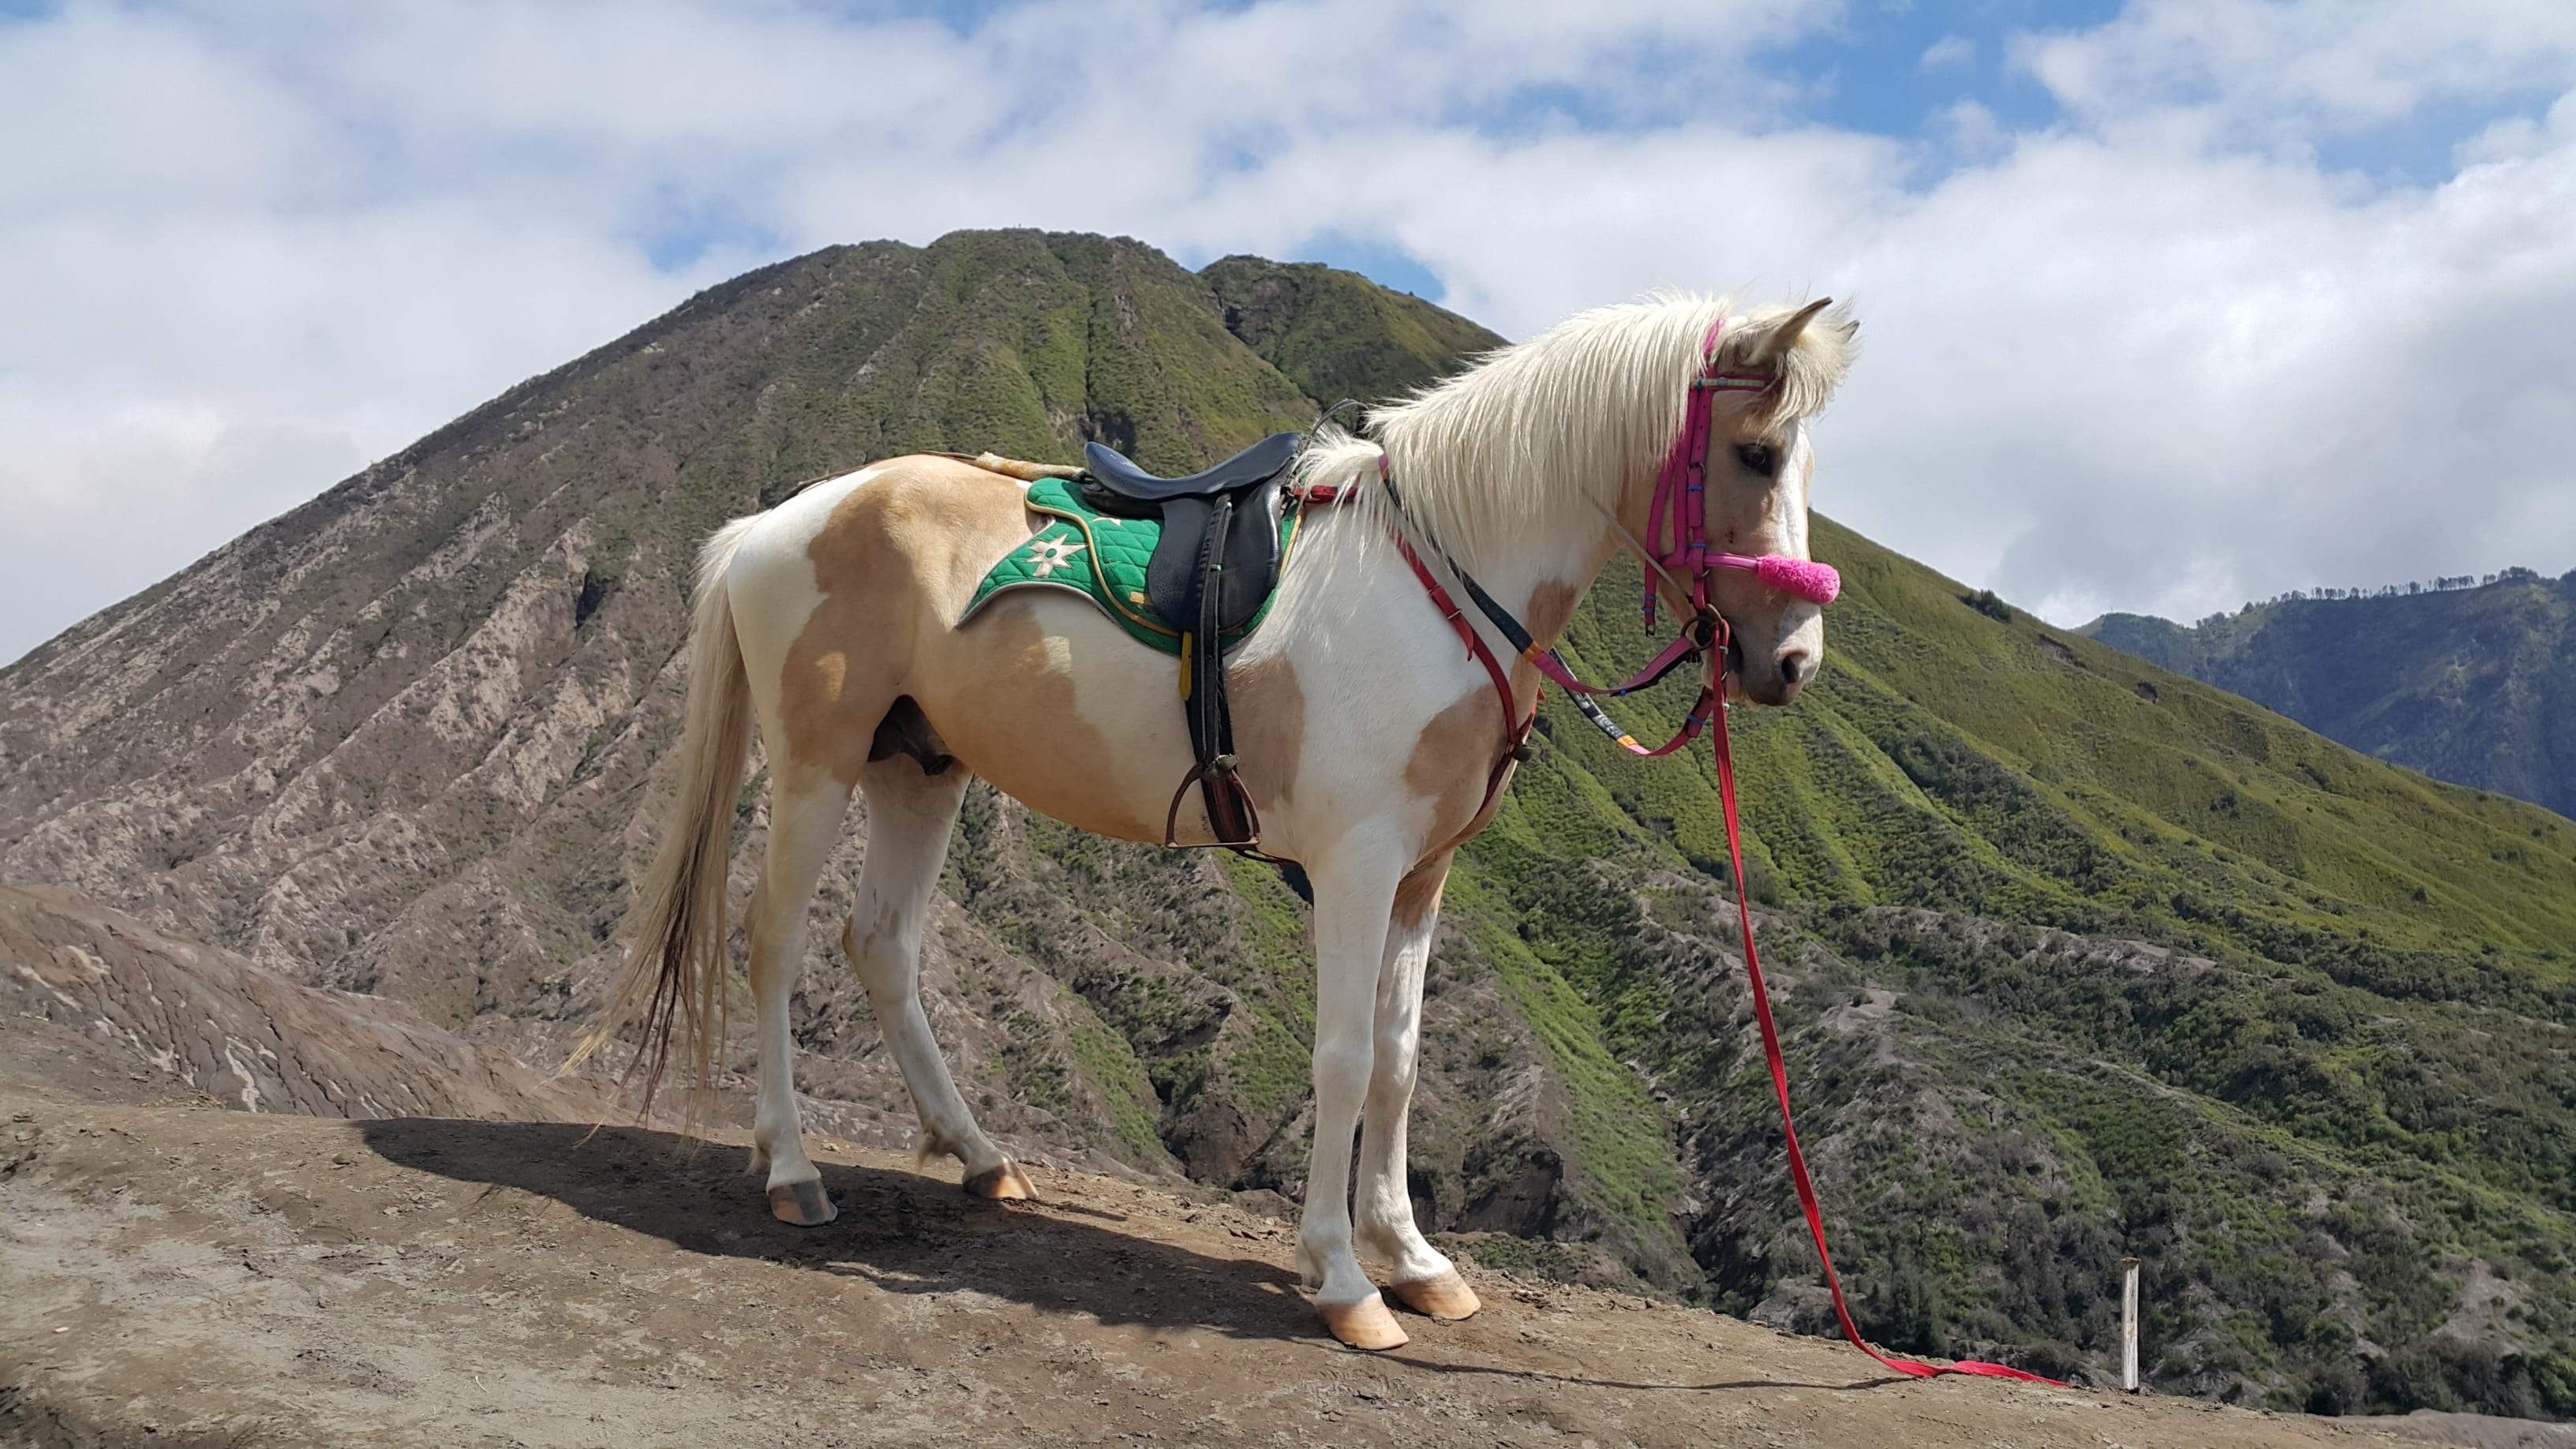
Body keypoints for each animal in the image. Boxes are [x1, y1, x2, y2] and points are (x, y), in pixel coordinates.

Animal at [579, 291, 1857, 1350]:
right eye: (1754, 452)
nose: (1794, 662)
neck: (1439, 579)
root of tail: (777, 522)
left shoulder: (1422, 878)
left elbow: (1400, 1060)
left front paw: (1415, 1262)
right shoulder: (1354, 865)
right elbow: (1343, 1061)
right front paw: (1343, 1280)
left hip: (920, 771)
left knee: (881, 948)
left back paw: (983, 1160)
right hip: (817, 764)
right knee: (772, 944)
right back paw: (792, 1170)